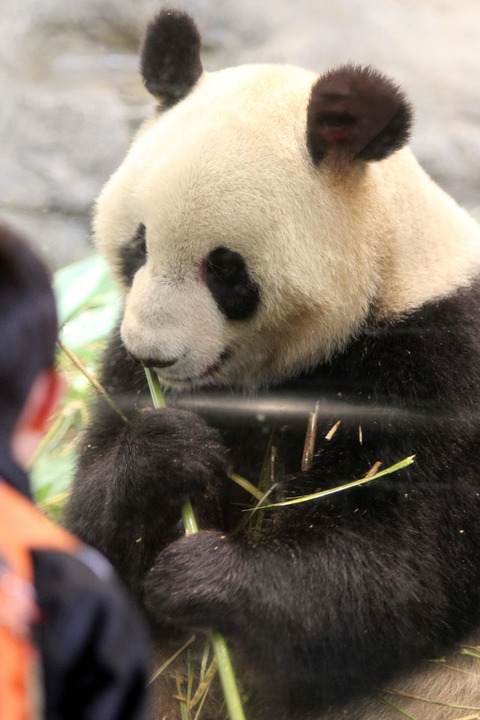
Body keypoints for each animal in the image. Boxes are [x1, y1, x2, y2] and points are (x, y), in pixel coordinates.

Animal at [64, 7, 480, 720]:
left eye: (225, 270)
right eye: (138, 245)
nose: (154, 354)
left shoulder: (443, 365)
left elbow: (401, 562)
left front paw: (204, 575)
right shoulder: (123, 369)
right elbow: (86, 546)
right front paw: (168, 453)